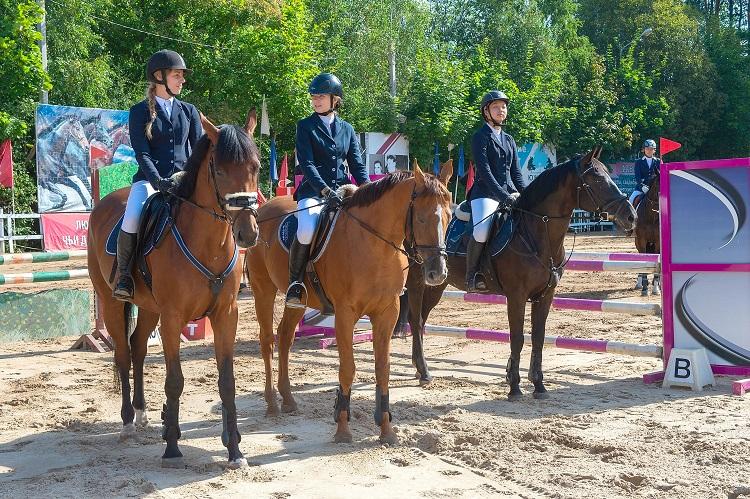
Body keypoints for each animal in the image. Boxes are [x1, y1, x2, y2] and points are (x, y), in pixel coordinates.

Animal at [88, 109, 262, 468]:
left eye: (256, 167)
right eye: (220, 170)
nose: (248, 233)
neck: (208, 243)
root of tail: (105, 203)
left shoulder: (226, 315)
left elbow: (227, 382)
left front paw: (235, 451)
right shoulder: (172, 318)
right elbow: (175, 380)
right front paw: (171, 446)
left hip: (149, 308)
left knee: (138, 347)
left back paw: (142, 413)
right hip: (113, 303)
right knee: (123, 354)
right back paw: (128, 422)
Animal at [248, 164, 452, 446]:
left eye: (450, 216)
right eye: (421, 218)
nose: (437, 273)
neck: (374, 245)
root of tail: (264, 208)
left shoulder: (387, 313)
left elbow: (383, 368)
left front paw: (386, 430)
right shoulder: (345, 314)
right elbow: (347, 369)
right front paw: (343, 428)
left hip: (297, 302)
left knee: (285, 336)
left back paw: (288, 399)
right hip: (263, 289)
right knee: (267, 340)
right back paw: (272, 404)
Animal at [396, 147, 636, 398]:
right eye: (597, 179)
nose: (631, 216)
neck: (535, 232)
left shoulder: (545, 295)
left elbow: (538, 337)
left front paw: (538, 384)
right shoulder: (516, 295)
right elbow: (518, 337)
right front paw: (514, 385)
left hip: (438, 283)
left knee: (421, 319)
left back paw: (419, 368)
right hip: (418, 280)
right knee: (415, 319)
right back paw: (423, 371)